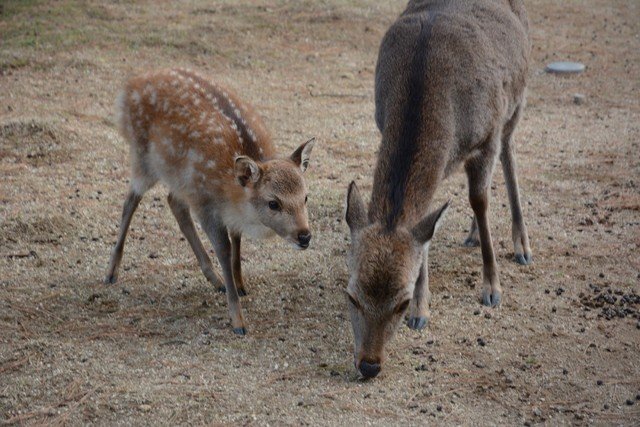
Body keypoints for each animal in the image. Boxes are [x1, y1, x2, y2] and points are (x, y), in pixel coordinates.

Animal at [105, 68, 316, 338]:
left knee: (173, 202)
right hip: (145, 158)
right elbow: (224, 250)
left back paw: (215, 279)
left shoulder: (222, 209)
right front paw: (238, 321)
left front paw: (240, 283)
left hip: (177, 177)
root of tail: (128, 88)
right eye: (273, 203)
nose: (304, 236)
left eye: (306, 196)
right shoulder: (206, 204)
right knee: (131, 200)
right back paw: (111, 272)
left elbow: (237, 242)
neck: (233, 194)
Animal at [344, 0, 528, 382]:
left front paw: (492, 289)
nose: (369, 365)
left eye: (399, 302)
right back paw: (472, 235)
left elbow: (480, 200)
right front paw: (422, 311)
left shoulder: (487, 135)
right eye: (351, 296)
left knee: (509, 154)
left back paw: (521, 245)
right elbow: (425, 223)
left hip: (516, 103)